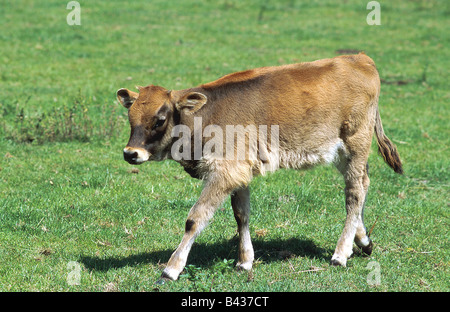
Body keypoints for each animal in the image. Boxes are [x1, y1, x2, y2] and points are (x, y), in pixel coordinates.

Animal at [117, 53, 404, 282]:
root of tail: (358, 58)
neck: (203, 117)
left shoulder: (225, 172)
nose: (131, 153)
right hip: (342, 153)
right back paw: (363, 240)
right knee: (362, 185)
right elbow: (241, 215)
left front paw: (171, 269)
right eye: (130, 118)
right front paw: (244, 261)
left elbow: (195, 219)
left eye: (160, 120)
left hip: (356, 142)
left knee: (354, 193)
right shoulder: (238, 172)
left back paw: (340, 254)